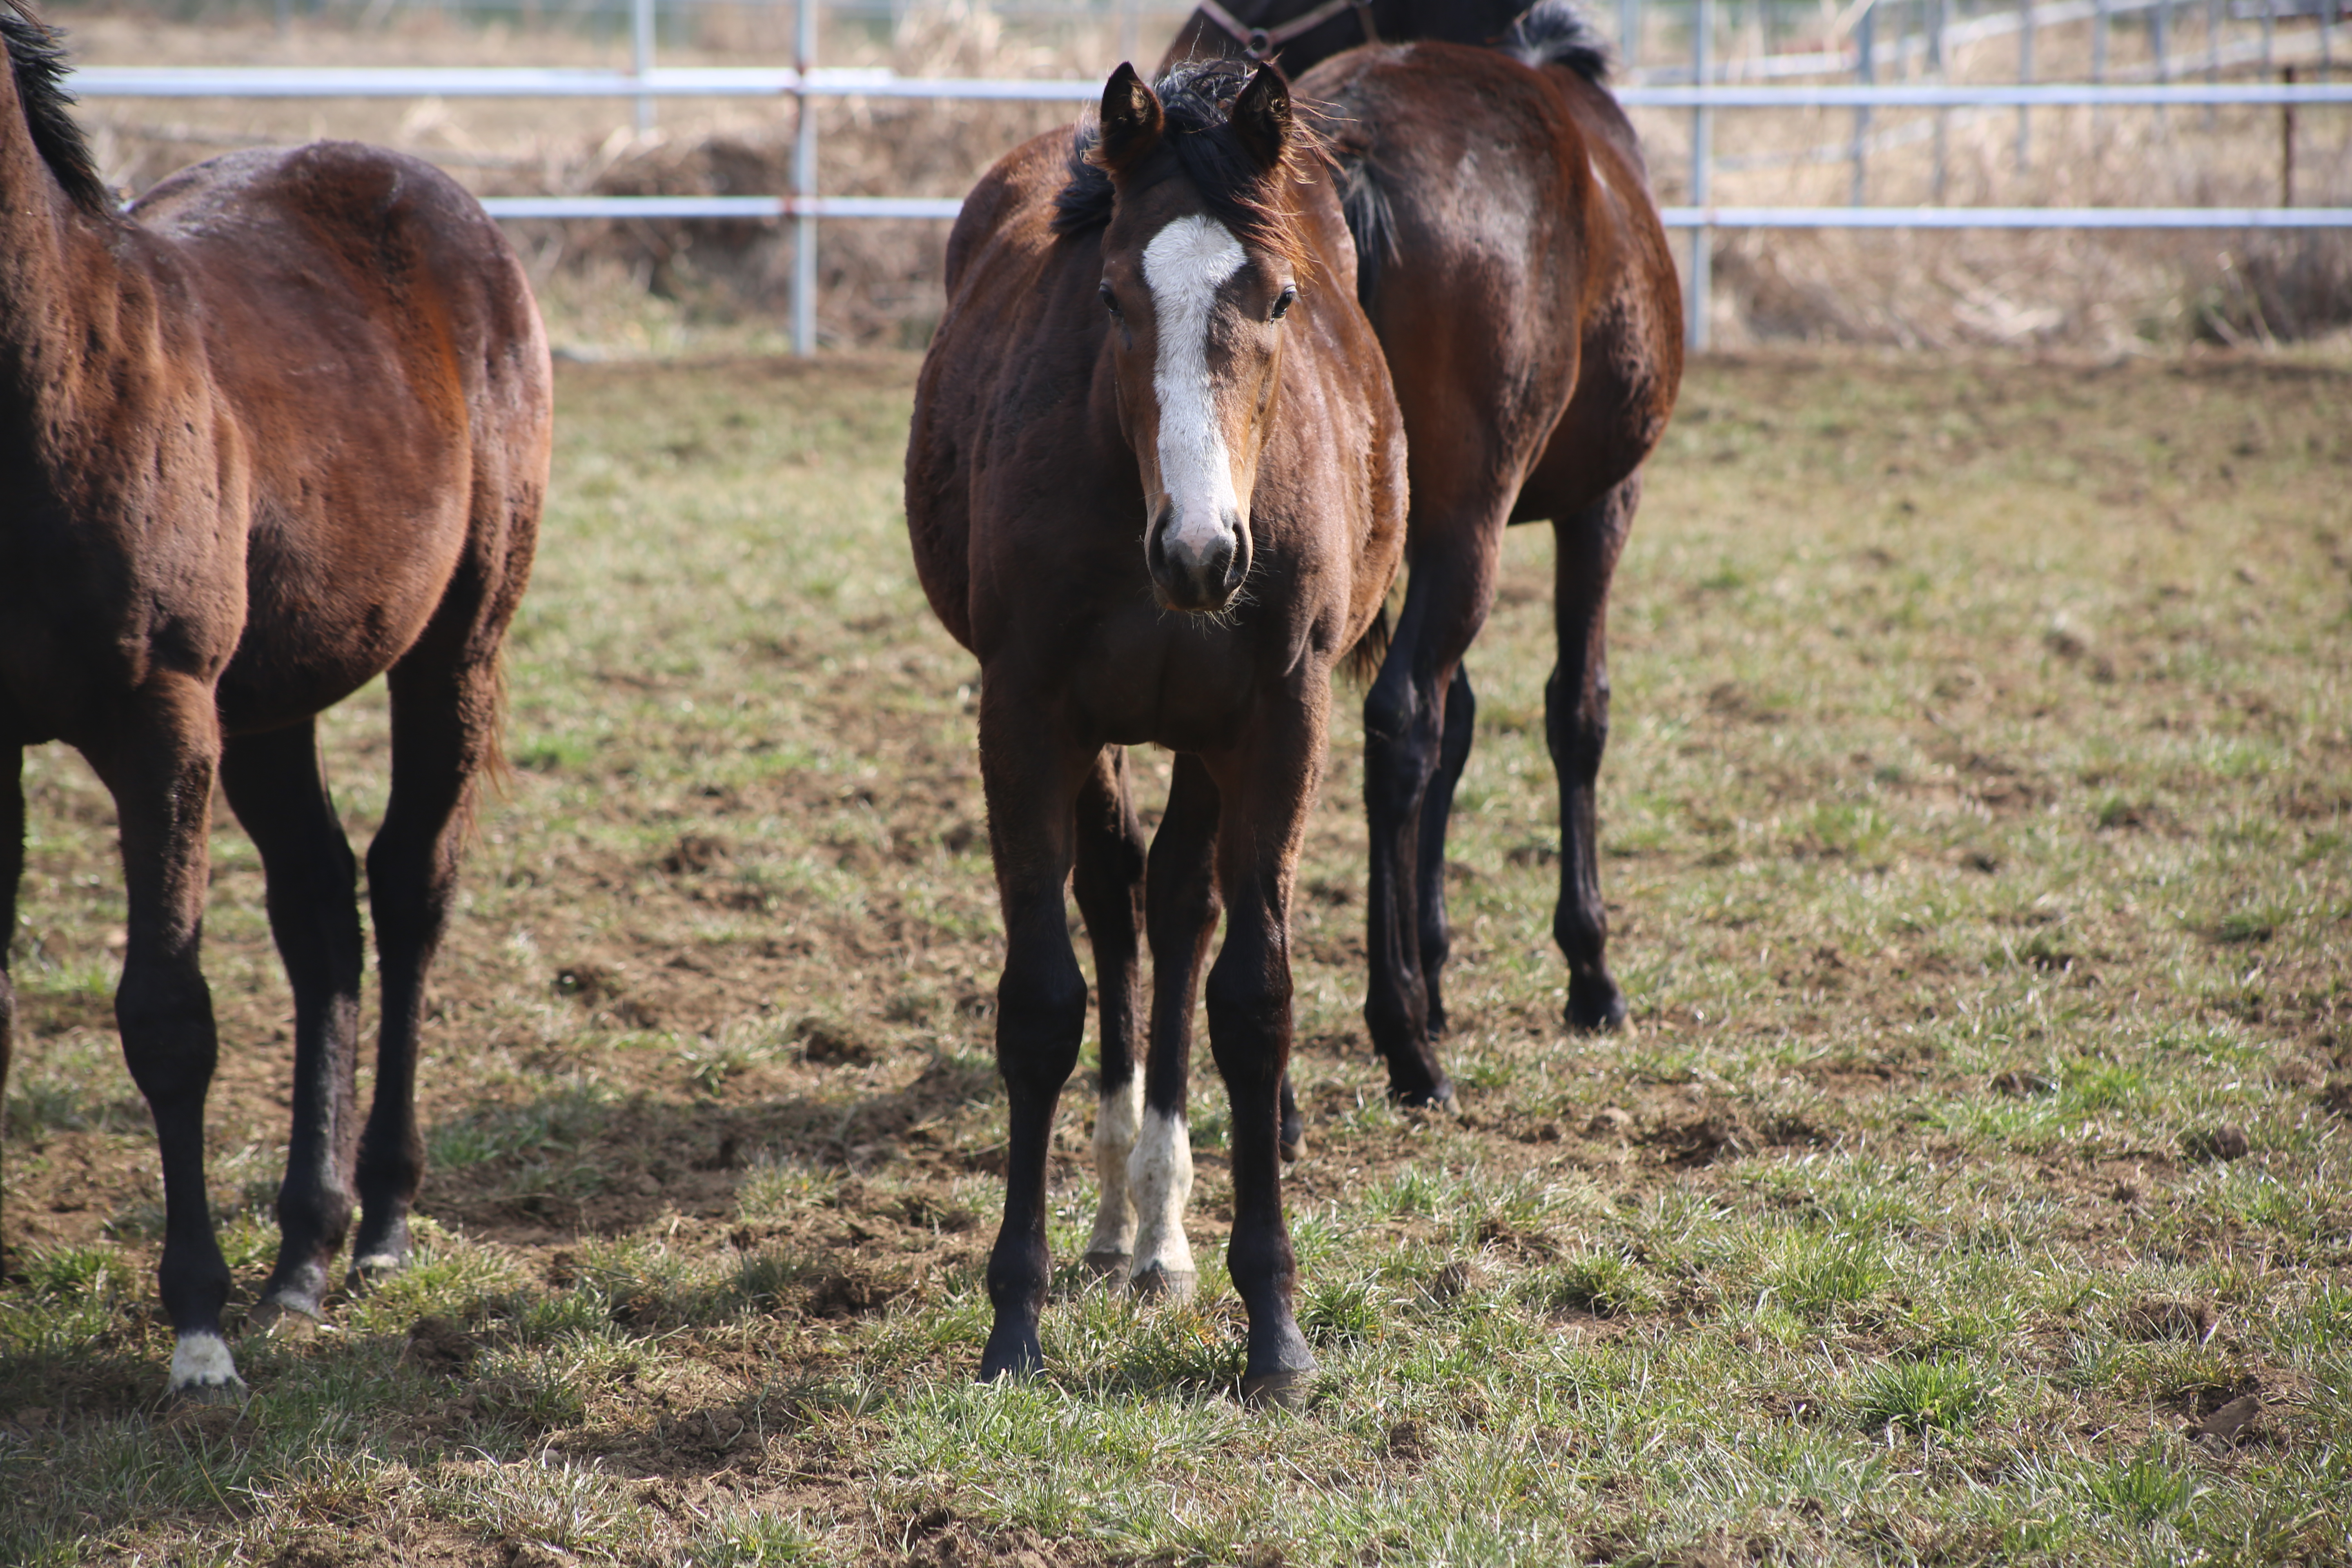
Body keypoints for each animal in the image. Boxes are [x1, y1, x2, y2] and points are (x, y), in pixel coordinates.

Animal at [0, 0, 546, 1401]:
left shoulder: (163, 721)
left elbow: (168, 1017)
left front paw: (196, 1325)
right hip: (269, 707)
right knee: (318, 911)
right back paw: (303, 1250)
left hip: (451, 650)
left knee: (409, 888)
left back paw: (384, 1222)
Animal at [908, 58, 1401, 1401]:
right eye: (1113, 296)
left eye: (1278, 294)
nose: (1202, 552)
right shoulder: (1027, 713)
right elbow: (1042, 1001)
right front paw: (1013, 1320)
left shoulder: (1280, 718)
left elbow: (1253, 1000)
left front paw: (1275, 1324)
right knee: (1120, 890)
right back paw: (1117, 1215)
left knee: (1178, 904)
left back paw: (1162, 1231)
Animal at [1166, 0, 1684, 1105]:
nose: (1189, 49)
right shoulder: (1601, 503)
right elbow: (1573, 710)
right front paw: (1588, 967)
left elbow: (1467, 721)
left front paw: (1435, 957)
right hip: (1472, 525)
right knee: (1400, 724)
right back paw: (1403, 1035)